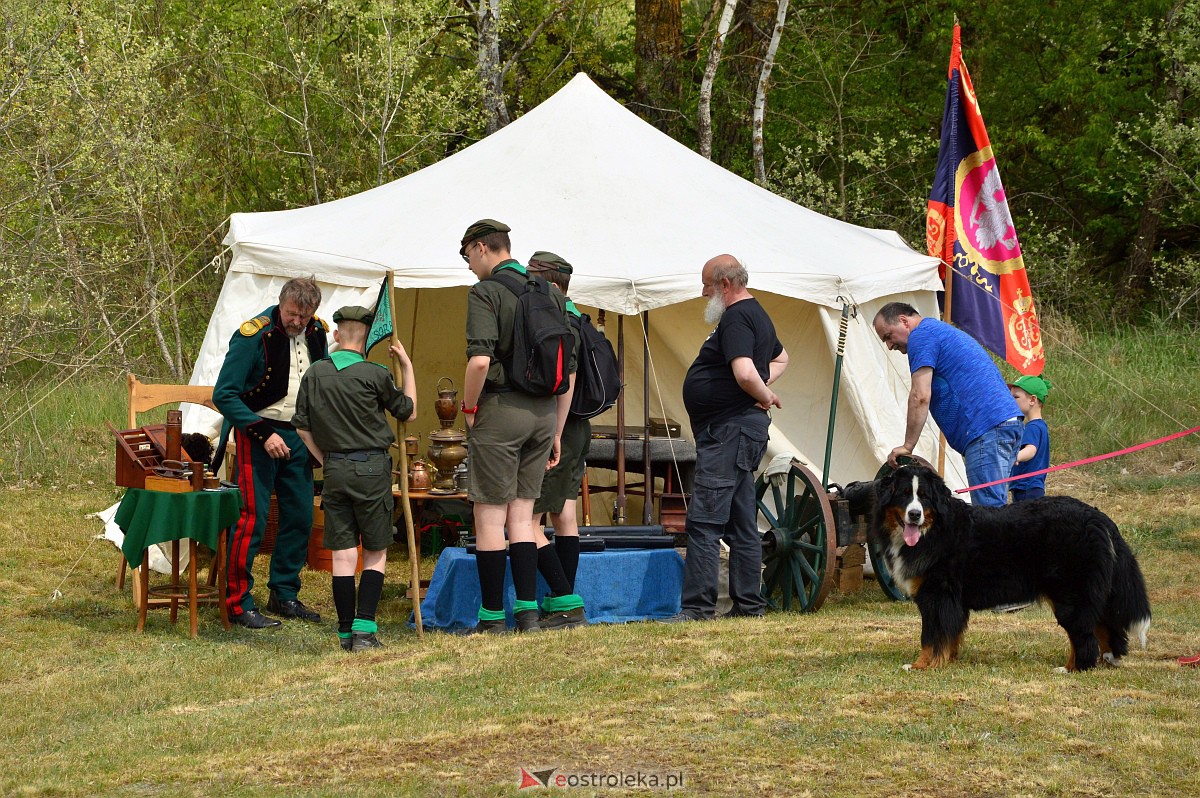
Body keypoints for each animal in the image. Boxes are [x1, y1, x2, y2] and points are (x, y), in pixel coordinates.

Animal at [873, 463, 1152, 667]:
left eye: (924, 497)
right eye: (904, 495)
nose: (914, 514)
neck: (934, 532)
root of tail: (1099, 517)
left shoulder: (938, 595)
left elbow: (931, 637)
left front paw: (922, 665)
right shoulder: (952, 602)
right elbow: (950, 635)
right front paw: (946, 660)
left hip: (1071, 596)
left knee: (1084, 636)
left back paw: (1073, 668)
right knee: (1107, 629)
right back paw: (1106, 662)